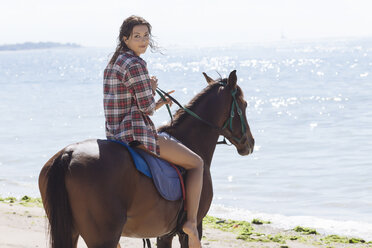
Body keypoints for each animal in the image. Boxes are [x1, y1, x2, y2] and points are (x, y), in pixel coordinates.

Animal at [37, 70, 254, 248]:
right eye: (244, 105)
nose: (250, 142)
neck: (189, 141)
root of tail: (70, 153)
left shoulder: (164, 234)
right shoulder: (191, 230)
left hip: (71, 232)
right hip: (103, 238)